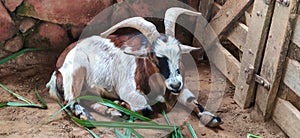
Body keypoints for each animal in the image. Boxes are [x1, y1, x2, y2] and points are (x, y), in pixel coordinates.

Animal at [47, 7, 223, 127]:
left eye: (179, 55)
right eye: (153, 58)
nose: (175, 84)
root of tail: (57, 67)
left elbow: (191, 99)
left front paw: (211, 117)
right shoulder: (129, 91)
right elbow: (146, 109)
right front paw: (122, 105)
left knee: (87, 98)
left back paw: (111, 110)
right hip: (75, 71)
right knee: (71, 100)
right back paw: (90, 115)